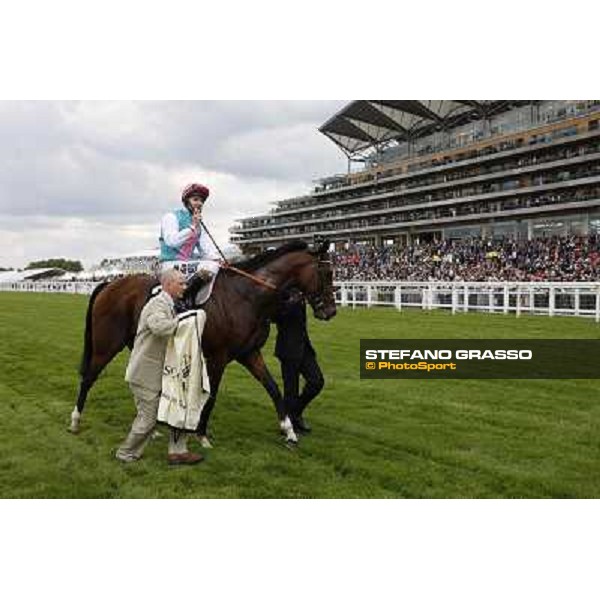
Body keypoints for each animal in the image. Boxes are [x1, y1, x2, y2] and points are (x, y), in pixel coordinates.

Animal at [70, 240, 338, 446]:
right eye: (326, 273)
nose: (331, 311)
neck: (247, 296)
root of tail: (110, 283)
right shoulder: (218, 357)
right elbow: (212, 395)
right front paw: (200, 433)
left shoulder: (249, 353)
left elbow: (272, 387)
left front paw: (289, 429)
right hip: (106, 344)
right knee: (89, 377)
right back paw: (75, 420)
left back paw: (150, 427)